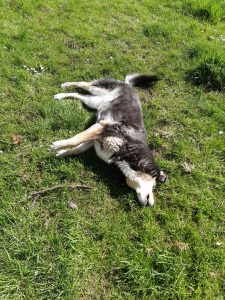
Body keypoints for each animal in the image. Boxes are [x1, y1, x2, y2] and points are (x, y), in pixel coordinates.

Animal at [51, 74, 167, 207]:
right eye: (154, 187)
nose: (151, 205)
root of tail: (129, 85)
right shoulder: (101, 127)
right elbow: (75, 140)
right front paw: (57, 145)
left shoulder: (94, 139)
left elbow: (77, 148)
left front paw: (62, 152)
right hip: (98, 90)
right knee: (83, 84)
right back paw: (65, 85)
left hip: (93, 102)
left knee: (79, 95)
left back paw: (60, 95)